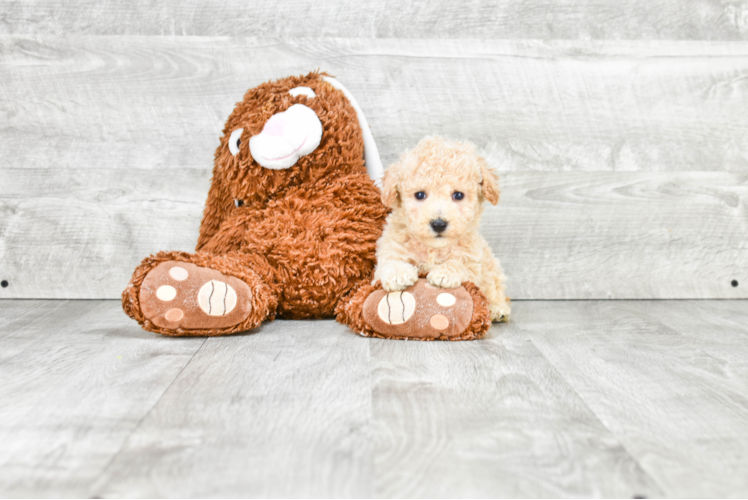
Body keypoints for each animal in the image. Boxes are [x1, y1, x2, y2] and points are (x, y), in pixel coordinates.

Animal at [372, 136, 512, 320]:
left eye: (458, 195)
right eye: (419, 195)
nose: (438, 224)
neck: (433, 248)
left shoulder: (473, 259)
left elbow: (460, 263)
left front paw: (445, 273)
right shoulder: (391, 247)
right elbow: (390, 261)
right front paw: (398, 274)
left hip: (491, 267)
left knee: (494, 289)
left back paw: (498, 309)